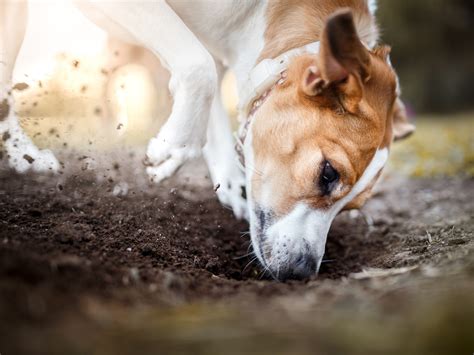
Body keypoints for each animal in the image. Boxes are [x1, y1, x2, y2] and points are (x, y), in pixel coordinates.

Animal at [0, 1, 412, 282]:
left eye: (350, 207)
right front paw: (173, 146)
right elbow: (199, 70)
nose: (302, 271)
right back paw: (24, 154)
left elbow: (206, 86)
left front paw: (223, 177)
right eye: (327, 174)